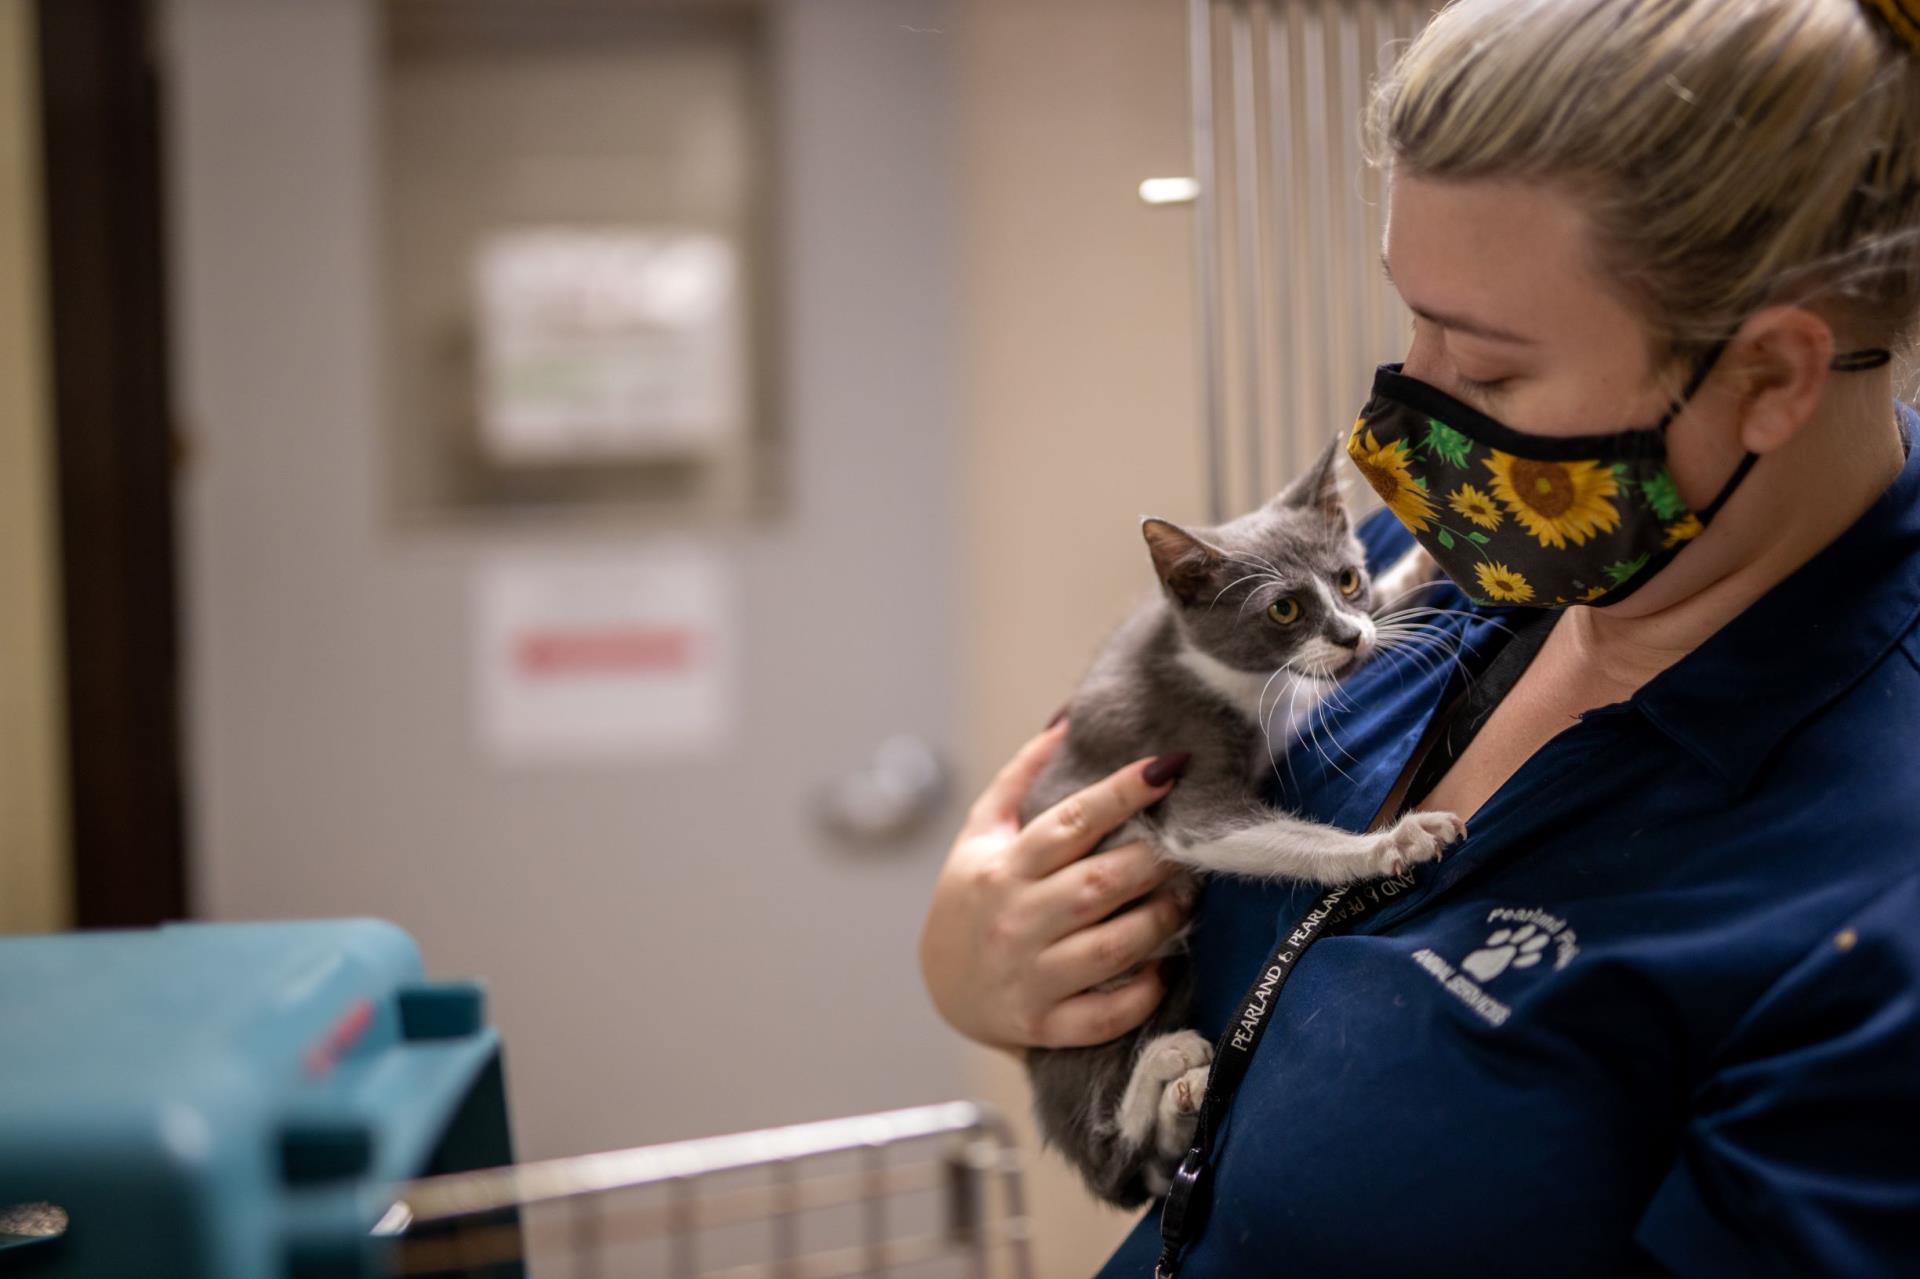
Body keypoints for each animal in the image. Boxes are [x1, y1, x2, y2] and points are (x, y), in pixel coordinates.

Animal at [1021, 437, 1451, 1206]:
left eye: (1348, 578)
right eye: (1283, 608)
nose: (1349, 635)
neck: (1240, 684)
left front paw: (1419, 570)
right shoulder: (1176, 751)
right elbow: (1246, 831)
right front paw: (1394, 842)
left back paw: (1185, 1096)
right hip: (1093, 1012)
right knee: (1110, 1144)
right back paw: (1168, 1064)